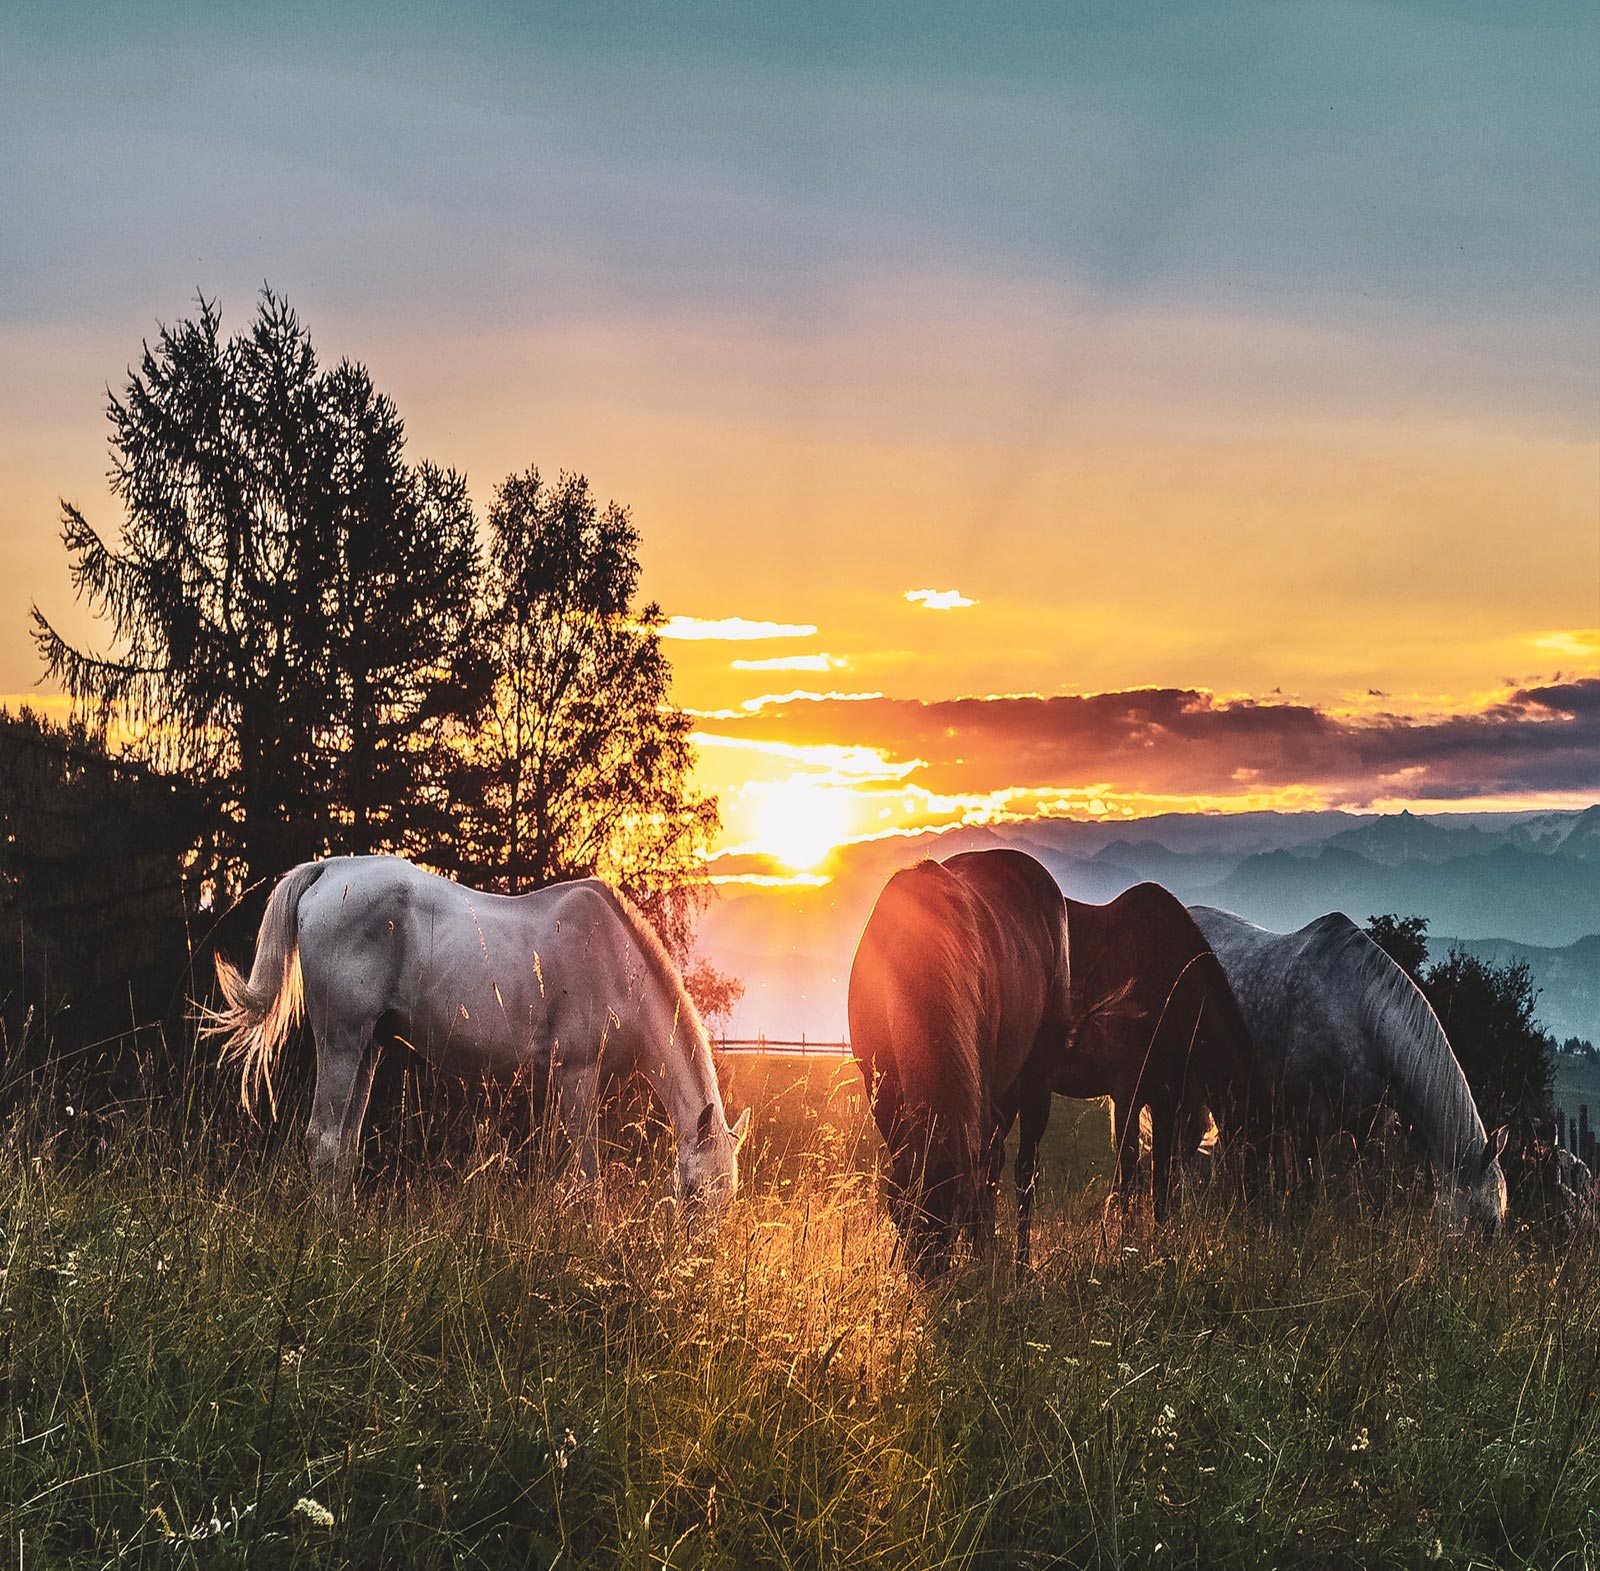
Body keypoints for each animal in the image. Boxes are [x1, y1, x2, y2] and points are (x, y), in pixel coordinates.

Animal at [201, 863, 748, 1203]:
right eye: (694, 1194)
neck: (616, 960)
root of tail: (329, 871)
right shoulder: (577, 1075)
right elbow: (586, 1176)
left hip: (367, 1048)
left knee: (345, 1147)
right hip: (341, 1040)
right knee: (326, 1141)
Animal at [851, 851, 1075, 1267]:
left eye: (952, 1219)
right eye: (902, 1216)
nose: (929, 1276)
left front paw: (981, 1252)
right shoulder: (881, 1091)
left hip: (1037, 1077)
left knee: (1023, 1170)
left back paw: (1018, 1264)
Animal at [1190, 908, 1510, 1228]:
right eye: (1487, 1222)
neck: (1357, 1016)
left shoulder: (1372, 1129)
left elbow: (1375, 1192)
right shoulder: (1310, 1123)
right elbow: (1306, 1187)